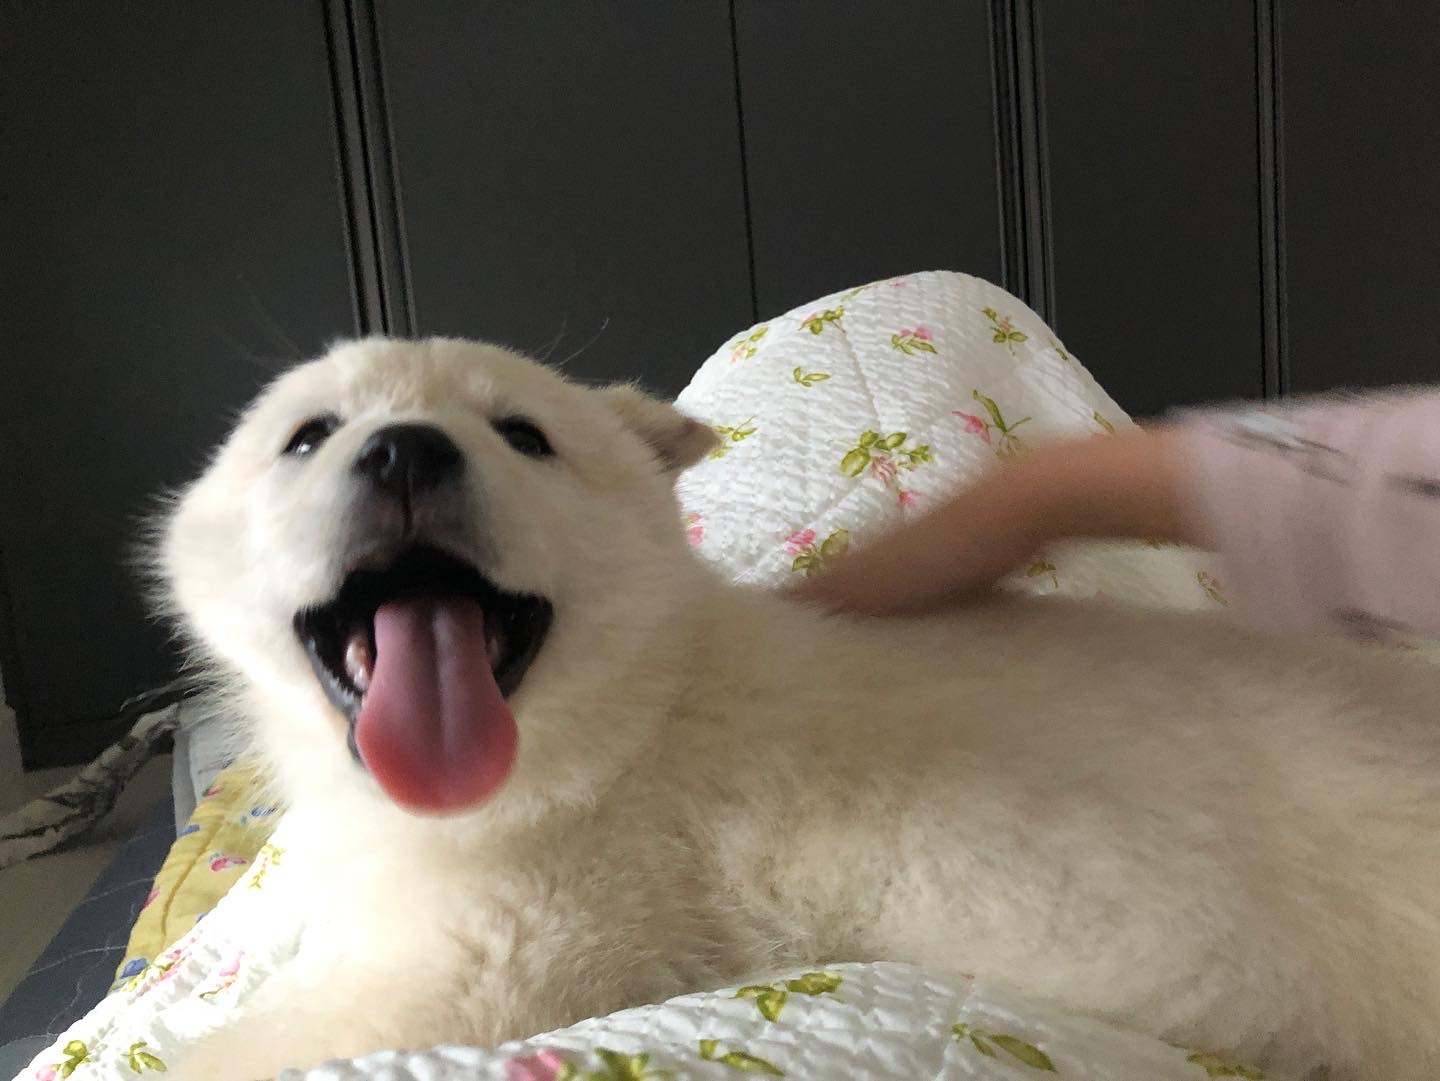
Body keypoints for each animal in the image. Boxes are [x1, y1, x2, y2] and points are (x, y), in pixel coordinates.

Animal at [159, 336, 1440, 1079]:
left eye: (522, 434)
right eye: (309, 436)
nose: (406, 451)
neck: (623, 726)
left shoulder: (484, 974)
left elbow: (233, 1053)